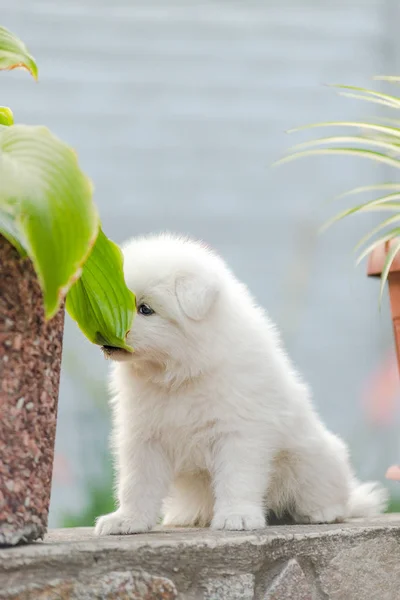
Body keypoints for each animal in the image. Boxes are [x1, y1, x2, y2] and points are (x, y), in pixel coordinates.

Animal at [94, 234, 388, 536]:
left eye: (145, 309)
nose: (103, 331)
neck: (179, 375)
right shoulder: (143, 437)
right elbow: (136, 483)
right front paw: (127, 520)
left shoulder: (239, 433)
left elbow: (237, 479)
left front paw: (237, 517)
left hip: (312, 462)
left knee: (331, 496)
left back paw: (322, 512)